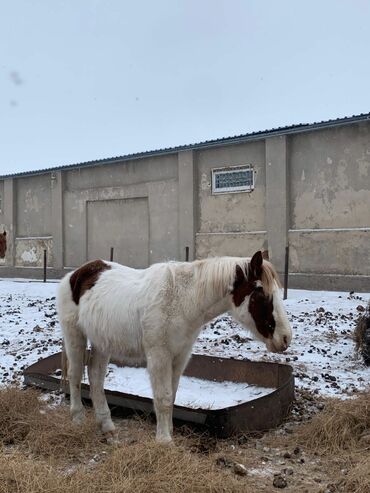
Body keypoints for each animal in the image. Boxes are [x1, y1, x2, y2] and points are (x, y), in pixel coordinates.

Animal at [57, 250, 292, 442]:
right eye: (260, 293)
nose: (285, 338)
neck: (182, 300)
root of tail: (76, 274)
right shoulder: (159, 356)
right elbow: (163, 397)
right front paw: (164, 442)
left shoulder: (180, 356)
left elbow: (172, 396)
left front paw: (168, 434)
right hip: (75, 335)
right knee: (76, 375)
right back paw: (78, 419)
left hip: (102, 342)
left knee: (95, 376)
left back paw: (107, 427)